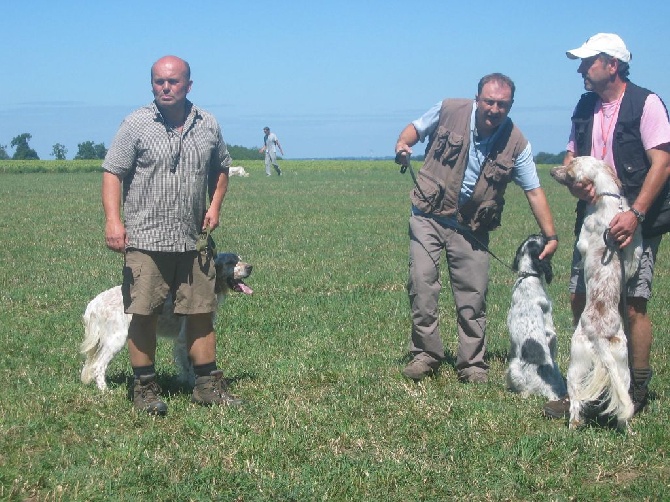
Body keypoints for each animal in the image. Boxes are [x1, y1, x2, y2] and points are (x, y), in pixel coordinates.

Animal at [510, 233, 568, 402]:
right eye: (539, 239)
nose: (544, 234)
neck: (528, 276)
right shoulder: (550, 330)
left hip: (513, 367)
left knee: (525, 392)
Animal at [552, 156, 644, 428]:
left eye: (570, 167)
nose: (551, 171)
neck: (609, 200)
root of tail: (600, 336)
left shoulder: (583, 239)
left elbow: (582, 246)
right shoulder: (631, 245)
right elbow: (635, 253)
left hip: (575, 360)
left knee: (576, 401)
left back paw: (573, 425)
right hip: (622, 363)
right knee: (623, 401)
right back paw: (627, 428)